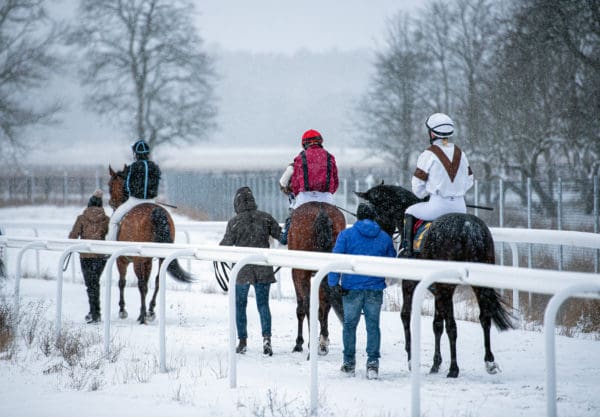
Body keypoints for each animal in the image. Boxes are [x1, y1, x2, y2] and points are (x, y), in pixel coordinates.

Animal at [106, 164, 193, 324]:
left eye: (109, 185)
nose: (111, 203)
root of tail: (157, 212)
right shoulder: (148, 261)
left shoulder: (122, 259)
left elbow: (122, 282)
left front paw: (122, 310)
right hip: (160, 257)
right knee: (158, 280)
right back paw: (150, 311)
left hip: (137, 260)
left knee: (141, 284)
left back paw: (142, 315)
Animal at [288, 202, 344, 354]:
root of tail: (321, 210)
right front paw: (323, 340)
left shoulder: (296, 272)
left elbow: (301, 308)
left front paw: (299, 343)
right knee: (327, 301)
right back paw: (323, 341)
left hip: (302, 272)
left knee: (308, 304)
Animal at [356, 184, 516, 376]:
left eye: (372, 212)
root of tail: (469, 228)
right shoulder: (437, 290)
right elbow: (437, 324)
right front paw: (435, 364)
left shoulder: (411, 283)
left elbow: (406, 315)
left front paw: (411, 359)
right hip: (476, 283)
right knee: (484, 318)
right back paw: (489, 362)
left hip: (448, 286)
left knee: (453, 326)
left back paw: (454, 368)